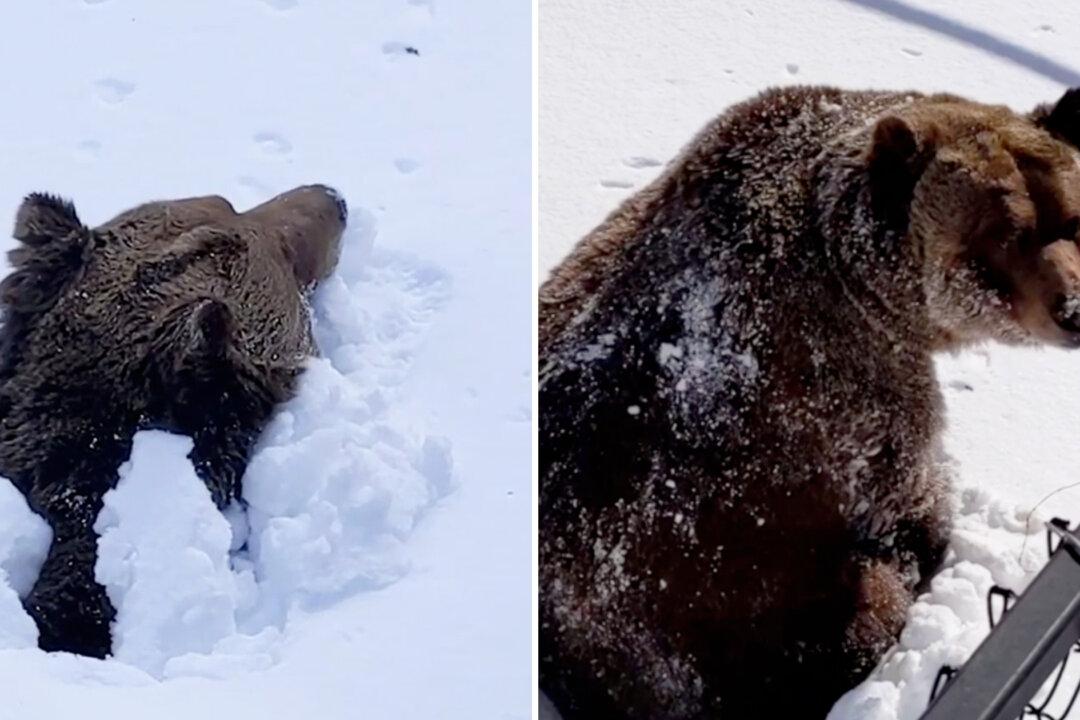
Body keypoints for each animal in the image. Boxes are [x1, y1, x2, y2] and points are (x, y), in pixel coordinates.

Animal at [539, 85, 1080, 719]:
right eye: (1003, 234)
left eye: (1071, 217)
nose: (1072, 309)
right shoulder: (848, 395)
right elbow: (908, 495)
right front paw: (925, 530)